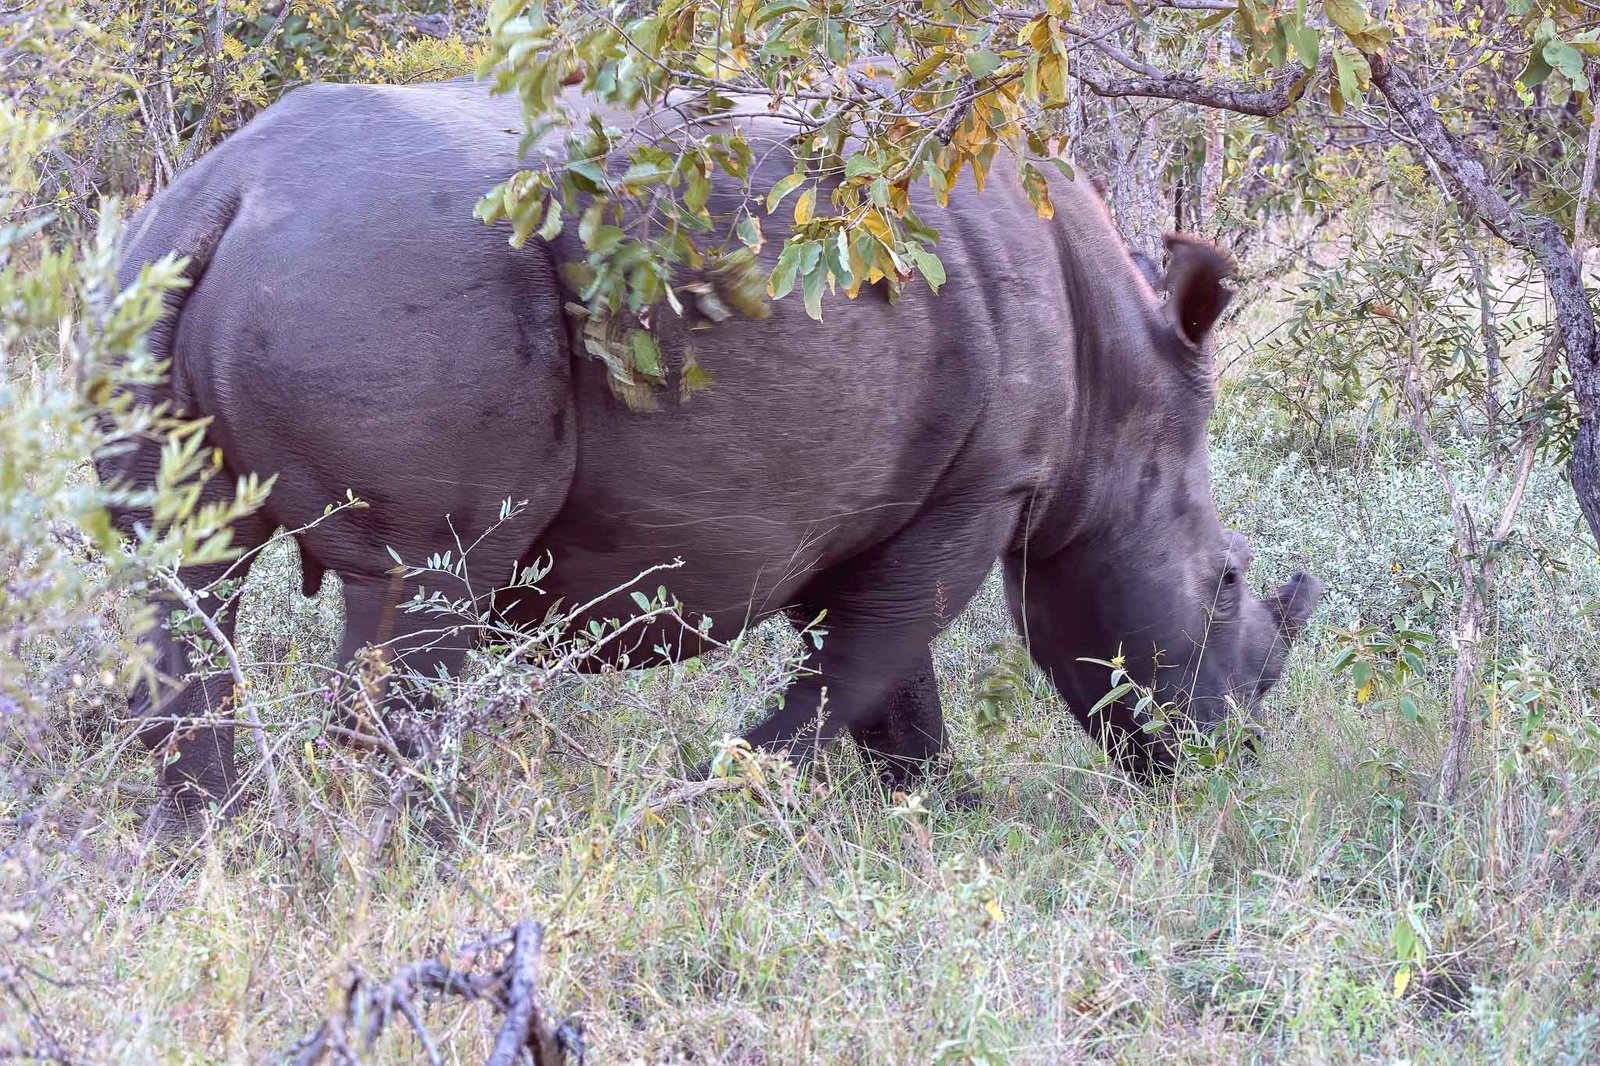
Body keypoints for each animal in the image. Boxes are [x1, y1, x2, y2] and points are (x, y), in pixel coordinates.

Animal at [103, 78, 1322, 823]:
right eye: (1228, 579)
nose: (1232, 764)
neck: (1119, 395)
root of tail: (231, 192)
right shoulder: (977, 488)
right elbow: (864, 664)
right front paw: (719, 788)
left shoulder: (870, 493)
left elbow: (888, 679)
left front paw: (933, 817)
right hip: (386, 276)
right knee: (428, 586)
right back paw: (427, 855)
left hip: (156, 266)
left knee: (185, 581)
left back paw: (206, 845)